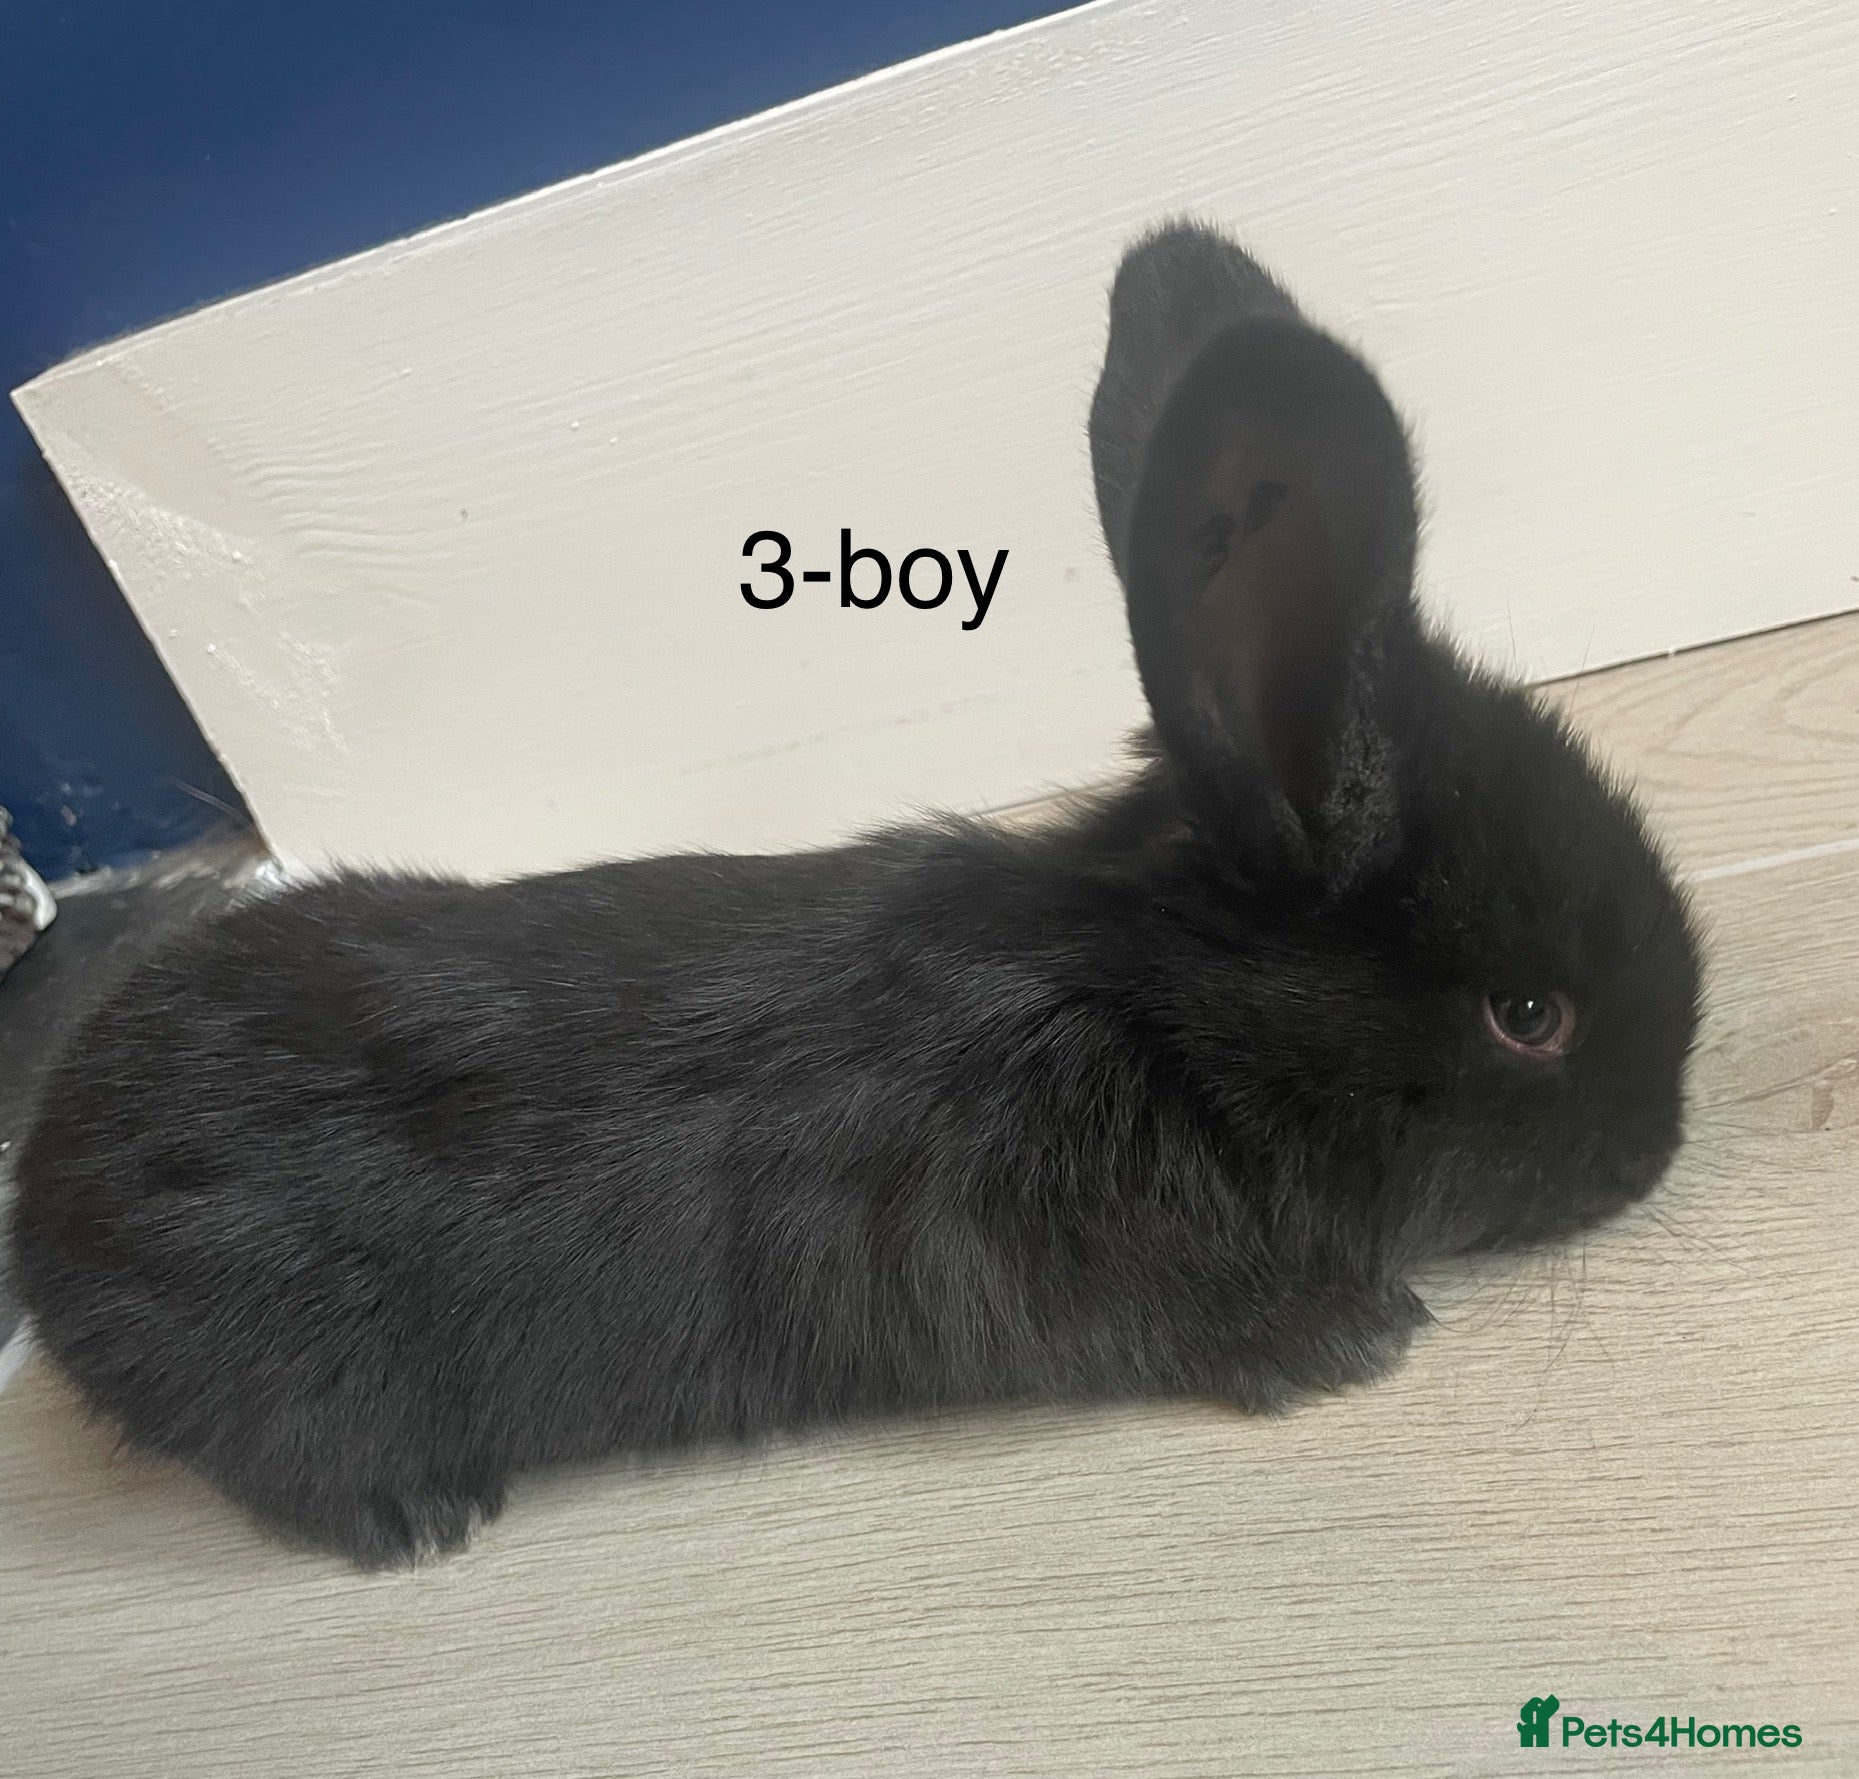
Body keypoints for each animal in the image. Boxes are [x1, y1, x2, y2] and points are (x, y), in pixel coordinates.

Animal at [9, 221, 1702, 1568]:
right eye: (1527, 1013)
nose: (1654, 1144)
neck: (1160, 1018)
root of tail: (50, 1191)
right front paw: (1355, 1337)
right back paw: (418, 1515)